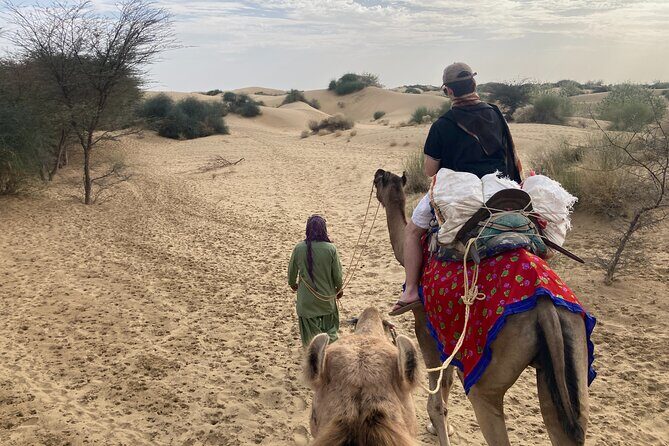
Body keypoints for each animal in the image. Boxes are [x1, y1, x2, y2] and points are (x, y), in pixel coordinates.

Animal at [373, 168, 591, 446]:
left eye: (381, 180)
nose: (377, 174)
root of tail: (546, 308)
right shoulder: (448, 332)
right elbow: (448, 379)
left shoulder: (424, 321)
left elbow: (437, 392)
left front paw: (439, 426)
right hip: (570, 350)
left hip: (488, 379)